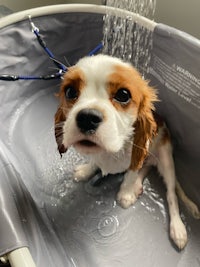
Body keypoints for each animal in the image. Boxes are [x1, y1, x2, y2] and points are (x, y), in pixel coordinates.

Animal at [54, 54, 198, 251]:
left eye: (123, 95)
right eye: (70, 91)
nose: (87, 118)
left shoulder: (138, 153)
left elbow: (130, 173)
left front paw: (125, 193)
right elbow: (96, 162)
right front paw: (86, 170)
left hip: (166, 157)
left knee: (171, 194)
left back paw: (177, 228)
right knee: (146, 168)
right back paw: (137, 186)